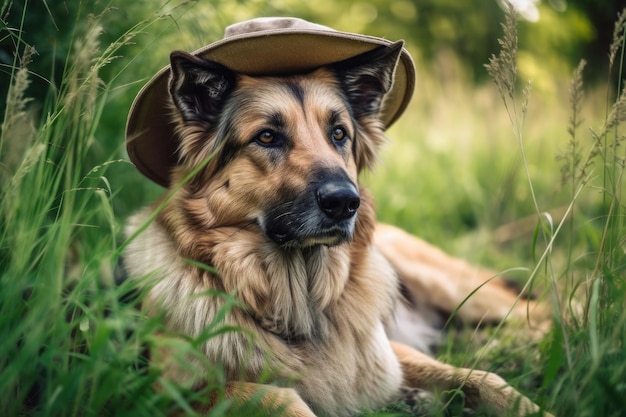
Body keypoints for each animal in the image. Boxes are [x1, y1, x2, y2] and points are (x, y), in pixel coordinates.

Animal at [123, 17, 552, 416]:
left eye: (339, 134)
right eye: (267, 137)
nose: (346, 203)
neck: (300, 308)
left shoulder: (389, 352)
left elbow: (485, 378)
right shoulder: (164, 393)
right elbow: (276, 396)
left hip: (449, 285)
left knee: (539, 313)